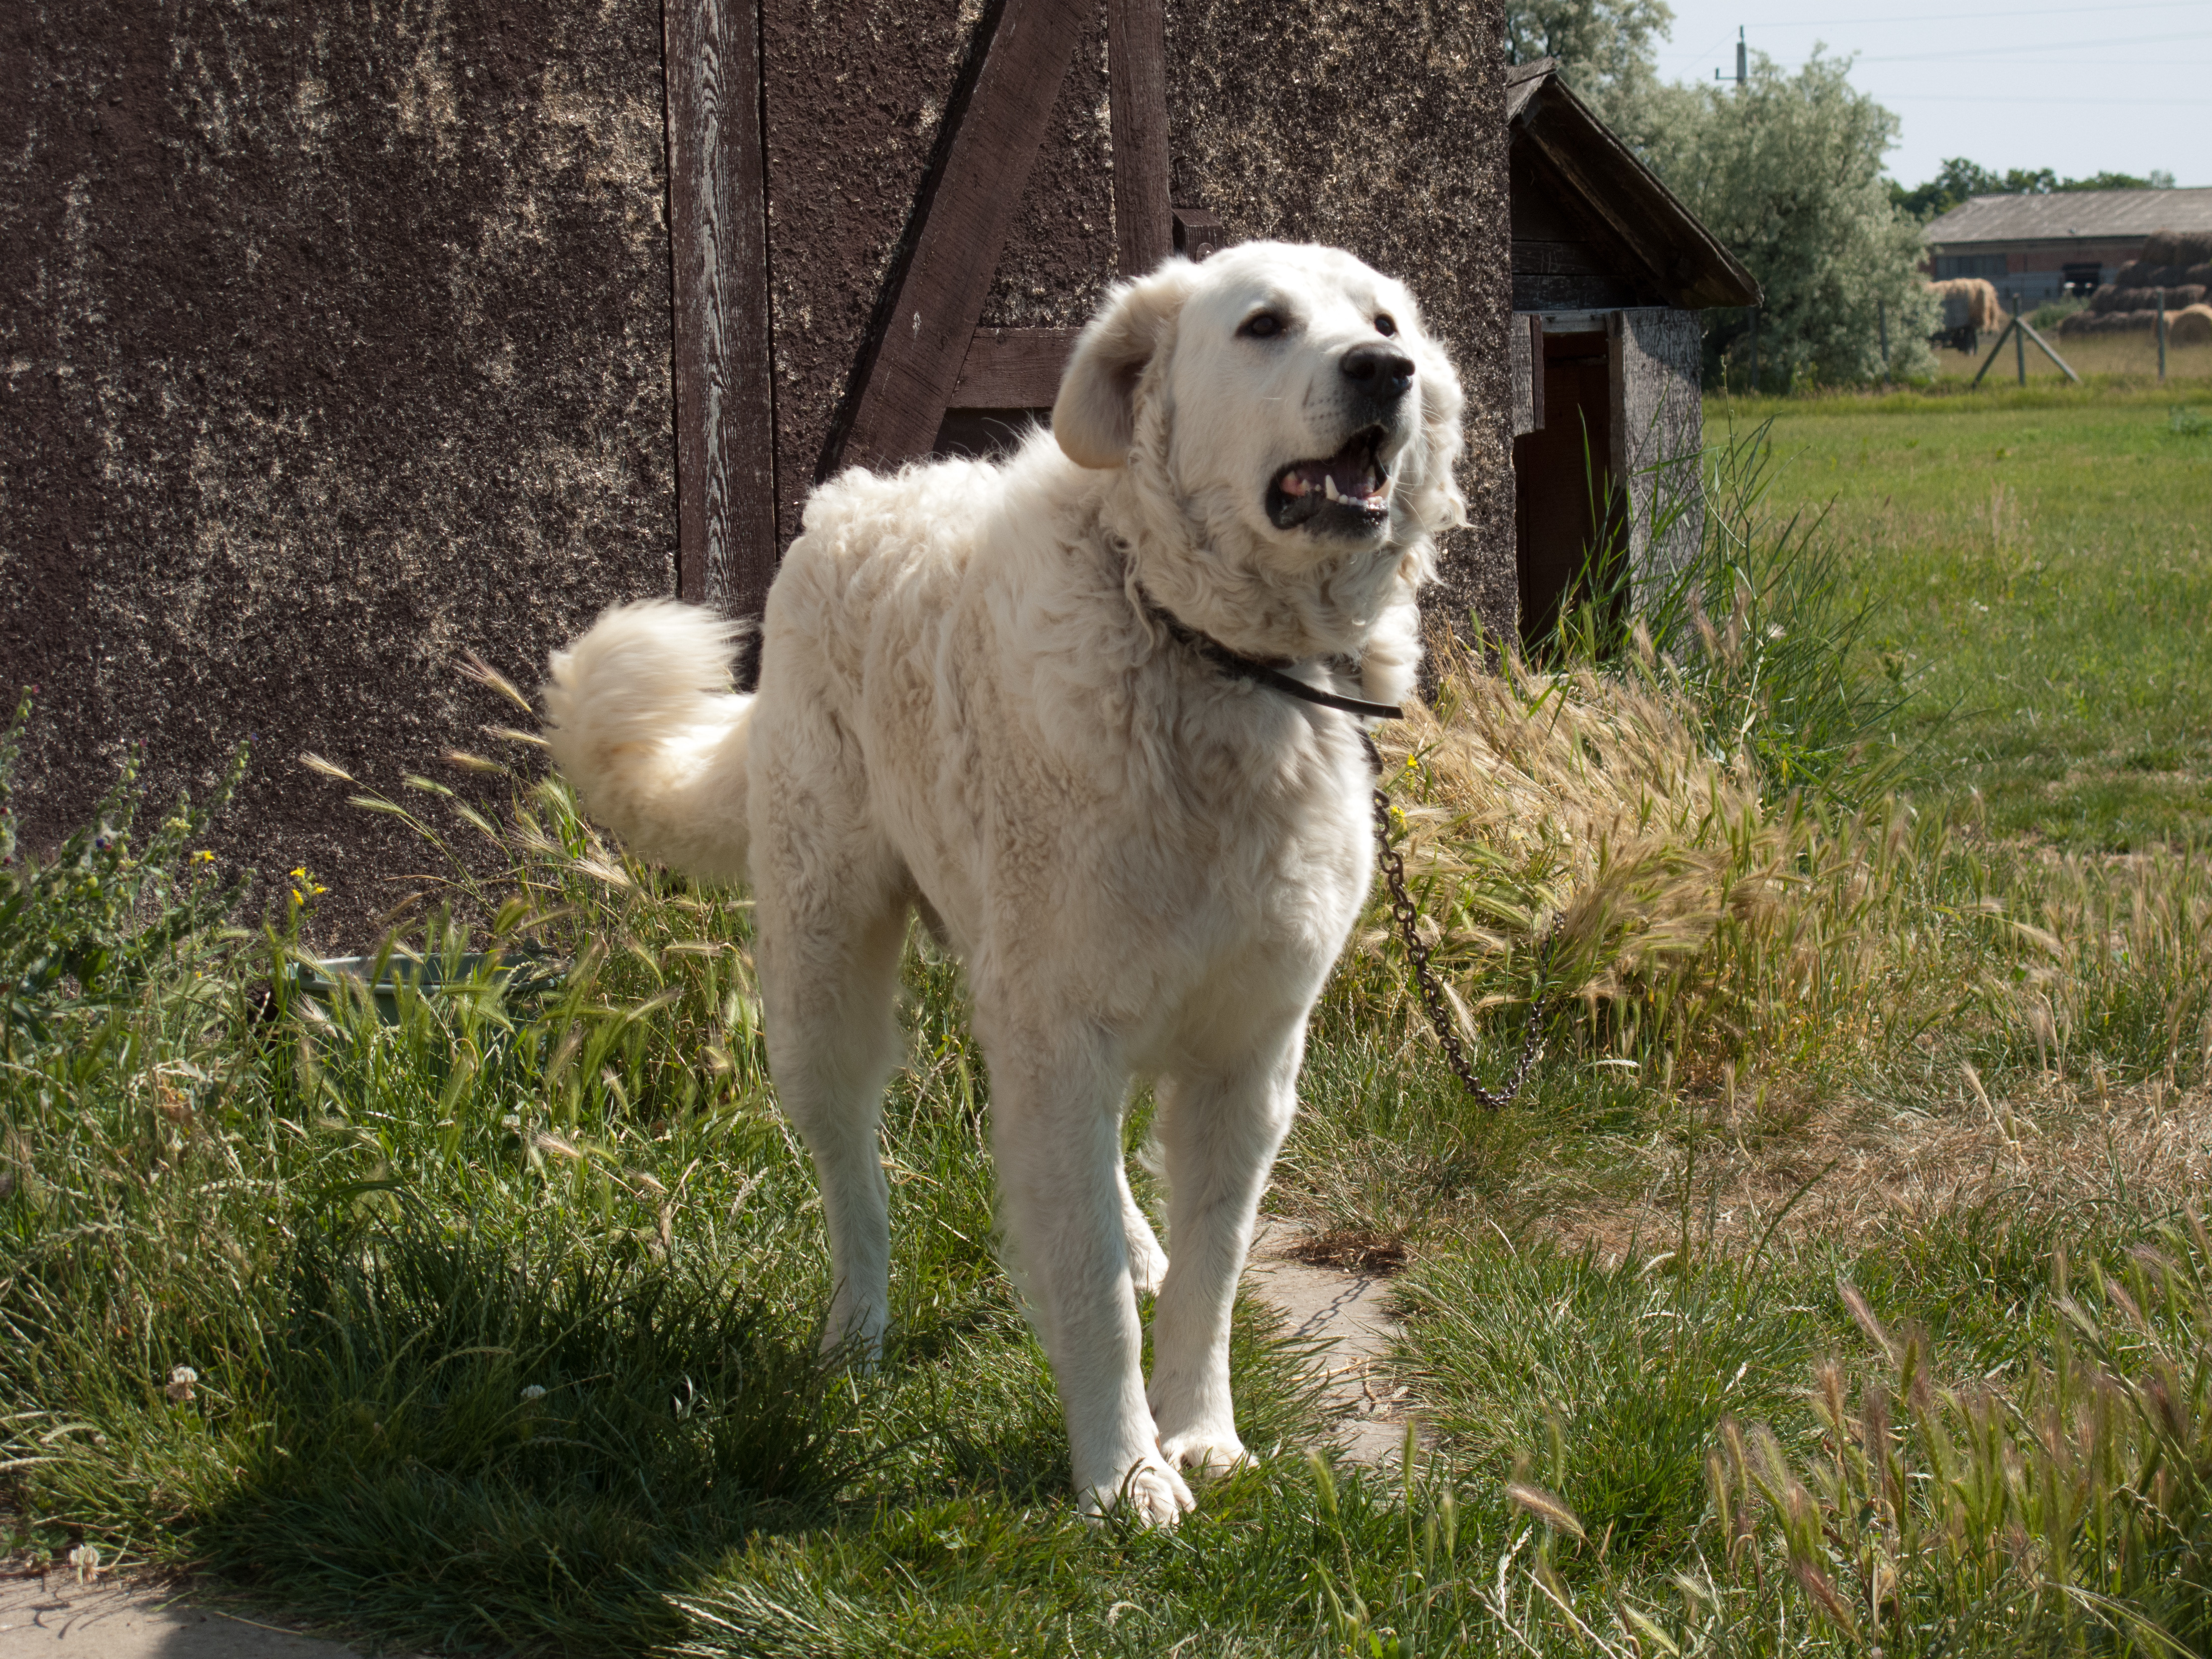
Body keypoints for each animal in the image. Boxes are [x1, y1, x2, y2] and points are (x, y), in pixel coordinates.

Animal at [541, 240, 1460, 1530]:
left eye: (1384, 324)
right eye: (1265, 326)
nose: (1385, 374)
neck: (1210, 663)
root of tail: (850, 499)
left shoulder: (1246, 1056)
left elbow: (1214, 1273)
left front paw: (1204, 1436)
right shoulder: (1061, 1033)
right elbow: (1085, 1287)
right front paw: (1123, 1477)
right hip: (824, 987)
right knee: (855, 1184)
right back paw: (854, 1340)